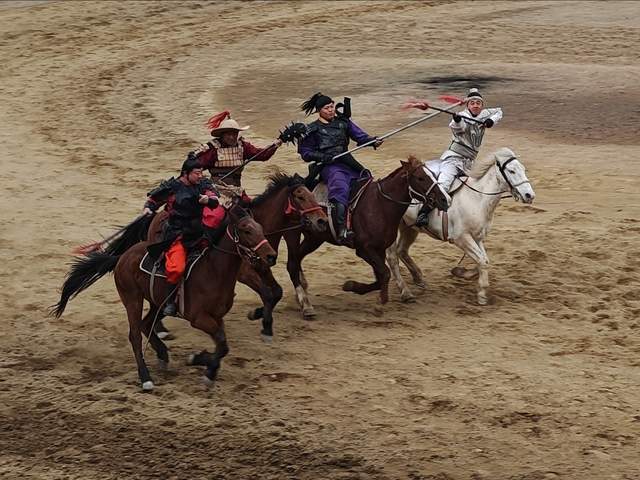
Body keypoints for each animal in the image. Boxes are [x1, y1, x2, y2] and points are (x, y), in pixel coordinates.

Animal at [51, 204, 278, 391]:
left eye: (260, 227)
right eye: (247, 230)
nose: (271, 256)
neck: (213, 271)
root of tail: (121, 257)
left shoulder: (217, 317)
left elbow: (222, 347)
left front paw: (203, 365)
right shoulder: (199, 318)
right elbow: (222, 344)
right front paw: (202, 365)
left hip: (155, 302)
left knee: (146, 324)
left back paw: (162, 354)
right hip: (132, 300)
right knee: (135, 335)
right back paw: (145, 378)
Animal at [147, 173, 328, 341]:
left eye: (312, 195)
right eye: (300, 197)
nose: (322, 220)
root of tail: (157, 216)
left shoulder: (263, 268)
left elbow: (277, 292)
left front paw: (258, 313)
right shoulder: (245, 274)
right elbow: (268, 294)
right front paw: (261, 318)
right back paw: (160, 329)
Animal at [282, 155, 450, 318]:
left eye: (433, 175)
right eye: (420, 178)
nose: (445, 200)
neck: (380, 205)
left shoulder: (379, 249)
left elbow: (381, 277)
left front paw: (351, 286)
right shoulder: (364, 250)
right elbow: (385, 273)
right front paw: (379, 304)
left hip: (315, 239)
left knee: (297, 259)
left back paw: (303, 290)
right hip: (298, 236)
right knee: (292, 263)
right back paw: (305, 304)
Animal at [385, 147, 536, 305]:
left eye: (523, 169)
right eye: (511, 171)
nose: (529, 195)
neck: (477, 199)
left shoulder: (477, 238)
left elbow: (484, 260)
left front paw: (463, 274)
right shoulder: (461, 238)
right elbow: (482, 261)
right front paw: (481, 294)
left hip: (409, 228)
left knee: (402, 250)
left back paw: (418, 278)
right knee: (392, 257)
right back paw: (405, 292)